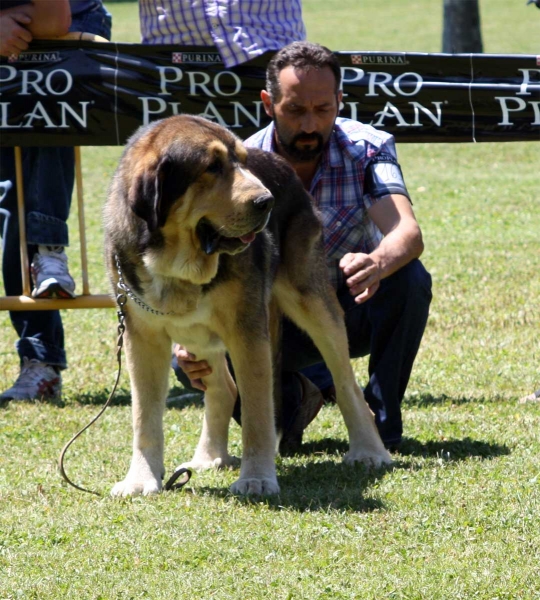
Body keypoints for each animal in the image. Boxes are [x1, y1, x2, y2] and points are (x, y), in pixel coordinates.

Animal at [104, 113, 392, 496]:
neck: (177, 267)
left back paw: (369, 451)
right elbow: (144, 417)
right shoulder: (143, 337)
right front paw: (141, 480)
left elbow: (257, 413)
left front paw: (256, 477)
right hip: (196, 333)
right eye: (212, 167)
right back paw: (209, 456)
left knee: (346, 384)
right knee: (224, 389)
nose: (266, 202)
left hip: (313, 302)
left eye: (242, 160)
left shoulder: (247, 332)